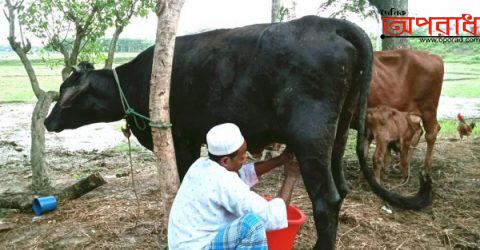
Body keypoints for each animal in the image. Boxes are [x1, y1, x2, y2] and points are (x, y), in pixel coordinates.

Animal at [45, 16, 432, 249]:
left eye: (65, 94)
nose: (48, 122)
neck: (138, 81)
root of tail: (329, 24)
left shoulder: (182, 139)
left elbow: (182, 183)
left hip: (311, 135)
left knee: (327, 199)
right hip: (338, 132)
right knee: (342, 188)